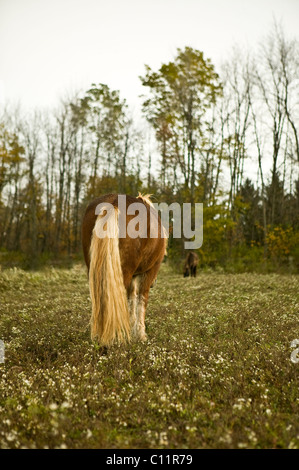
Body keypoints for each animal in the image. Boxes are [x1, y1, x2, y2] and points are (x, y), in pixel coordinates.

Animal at [81, 193, 168, 346]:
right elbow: (141, 299)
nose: (154, 283)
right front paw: (140, 334)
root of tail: (113, 202)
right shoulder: (149, 271)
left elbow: (131, 299)